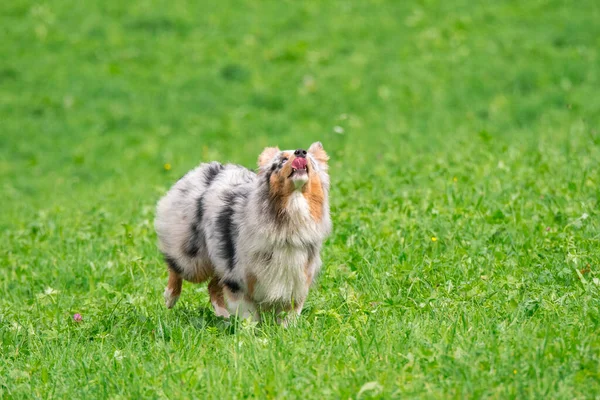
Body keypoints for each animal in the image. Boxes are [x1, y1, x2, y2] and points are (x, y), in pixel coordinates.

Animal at [154, 141, 332, 322]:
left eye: (311, 160)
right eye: (282, 160)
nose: (301, 152)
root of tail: (208, 167)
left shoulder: (296, 282)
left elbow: (289, 317)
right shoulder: (239, 278)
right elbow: (248, 316)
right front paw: (249, 329)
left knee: (212, 287)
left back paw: (223, 316)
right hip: (194, 257)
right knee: (176, 267)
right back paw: (170, 297)